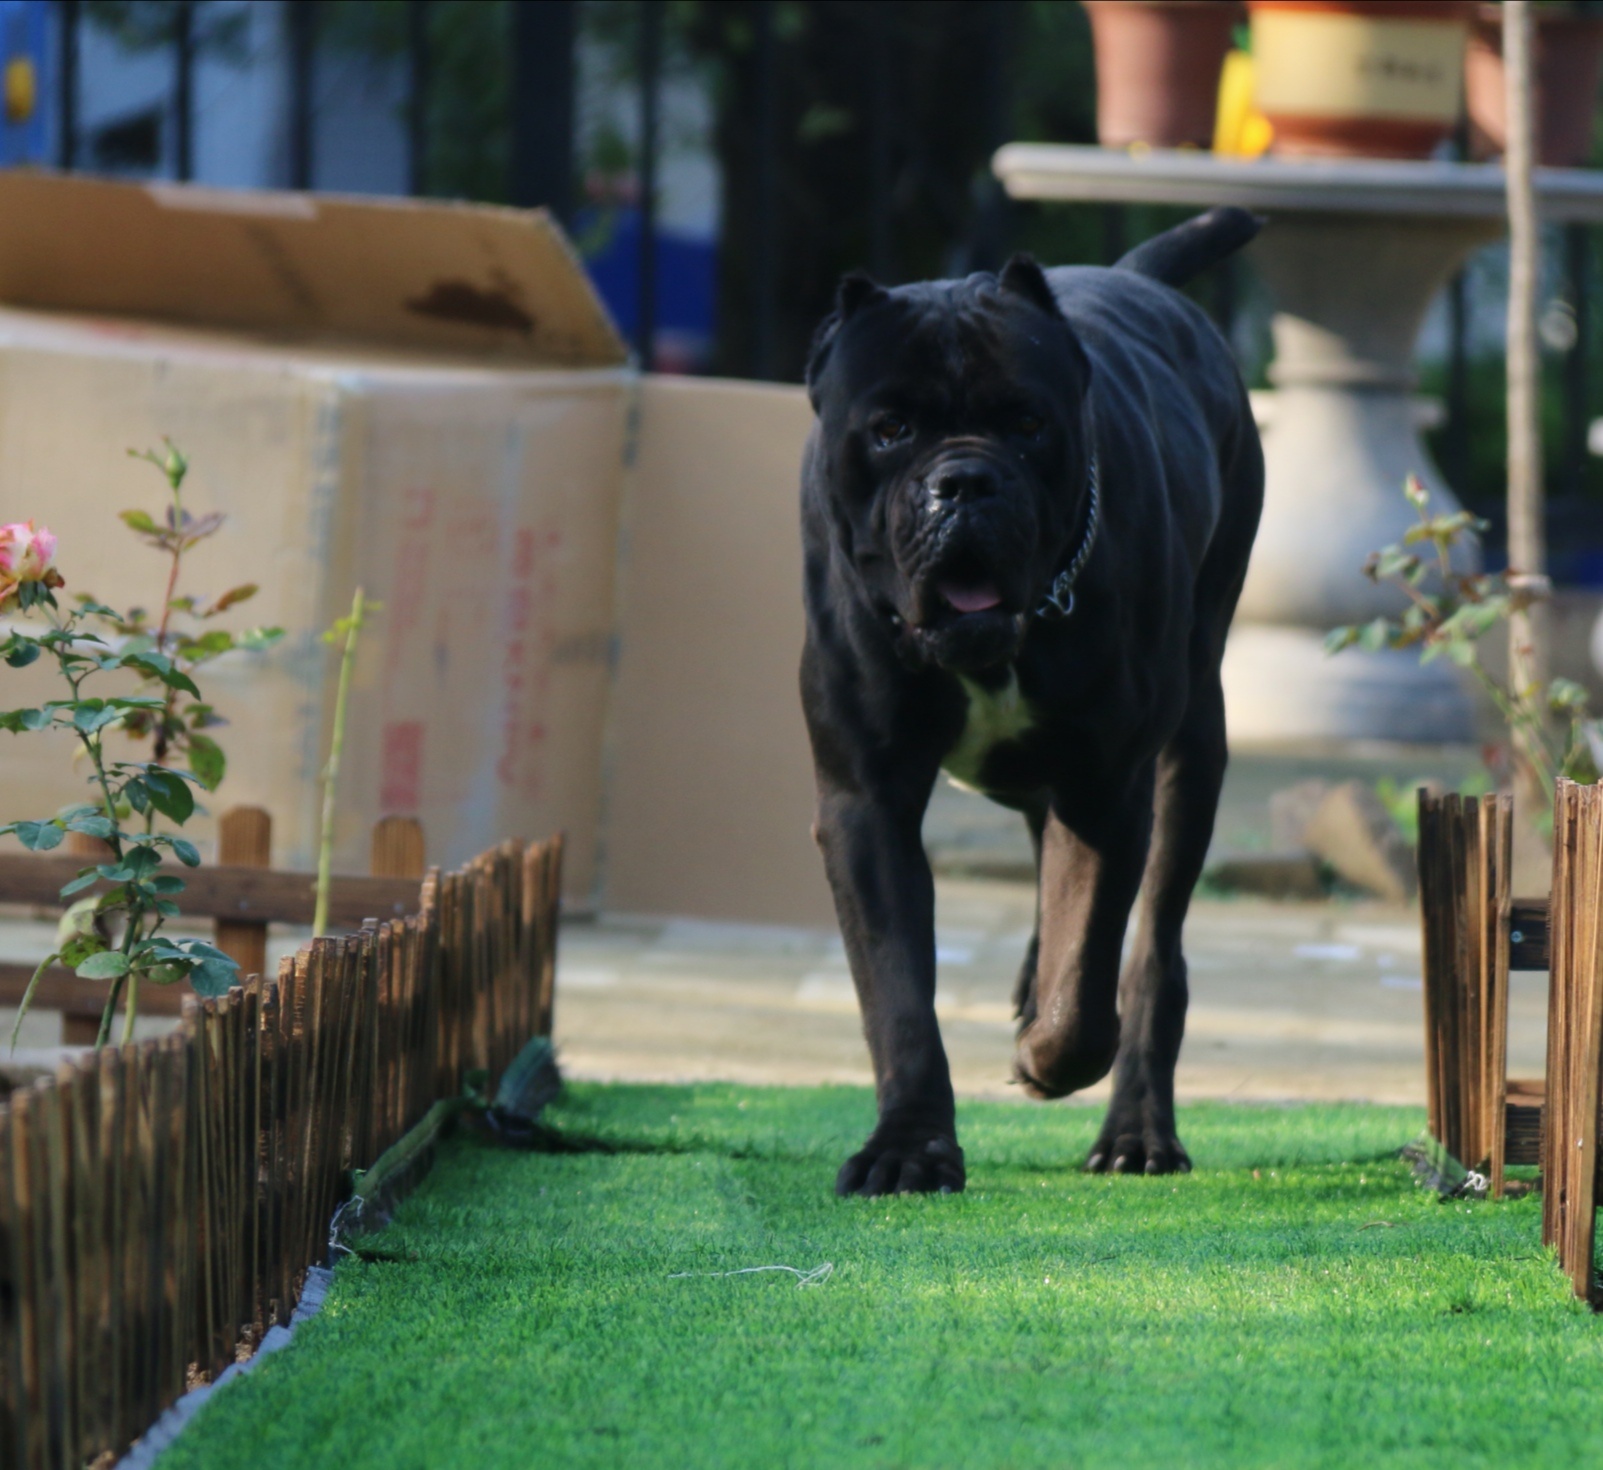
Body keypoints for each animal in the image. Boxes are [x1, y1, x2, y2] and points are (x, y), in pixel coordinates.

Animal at [801, 206, 1263, 1192]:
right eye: (889, 428)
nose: (963, 482)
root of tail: (1137, 276)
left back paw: (1135, 1130)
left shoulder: (1107, 784)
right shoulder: (865, 798)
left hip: (1189, 746)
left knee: (1151, 951)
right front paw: (908, 1148)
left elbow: (1086, 978)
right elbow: (897, 989)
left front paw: (1043, 1058)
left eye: (1025, 422)